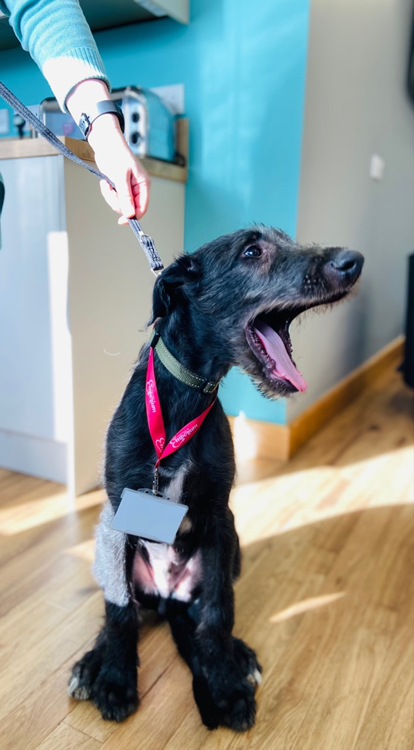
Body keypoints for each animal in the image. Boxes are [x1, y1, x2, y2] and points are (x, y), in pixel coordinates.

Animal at [67, 226, 362, 732]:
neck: (184, 395)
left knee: (200, 610)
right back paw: (93, 663)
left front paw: (224, 683)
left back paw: (235, 656)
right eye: (251, 251)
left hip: (233, 547)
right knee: (122, 606)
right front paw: (116, 679)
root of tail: (166, 598)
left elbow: (219, 613)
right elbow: (119, 611)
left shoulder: (220, 520)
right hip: (104, 541)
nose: (354, 261)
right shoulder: (121, 517)